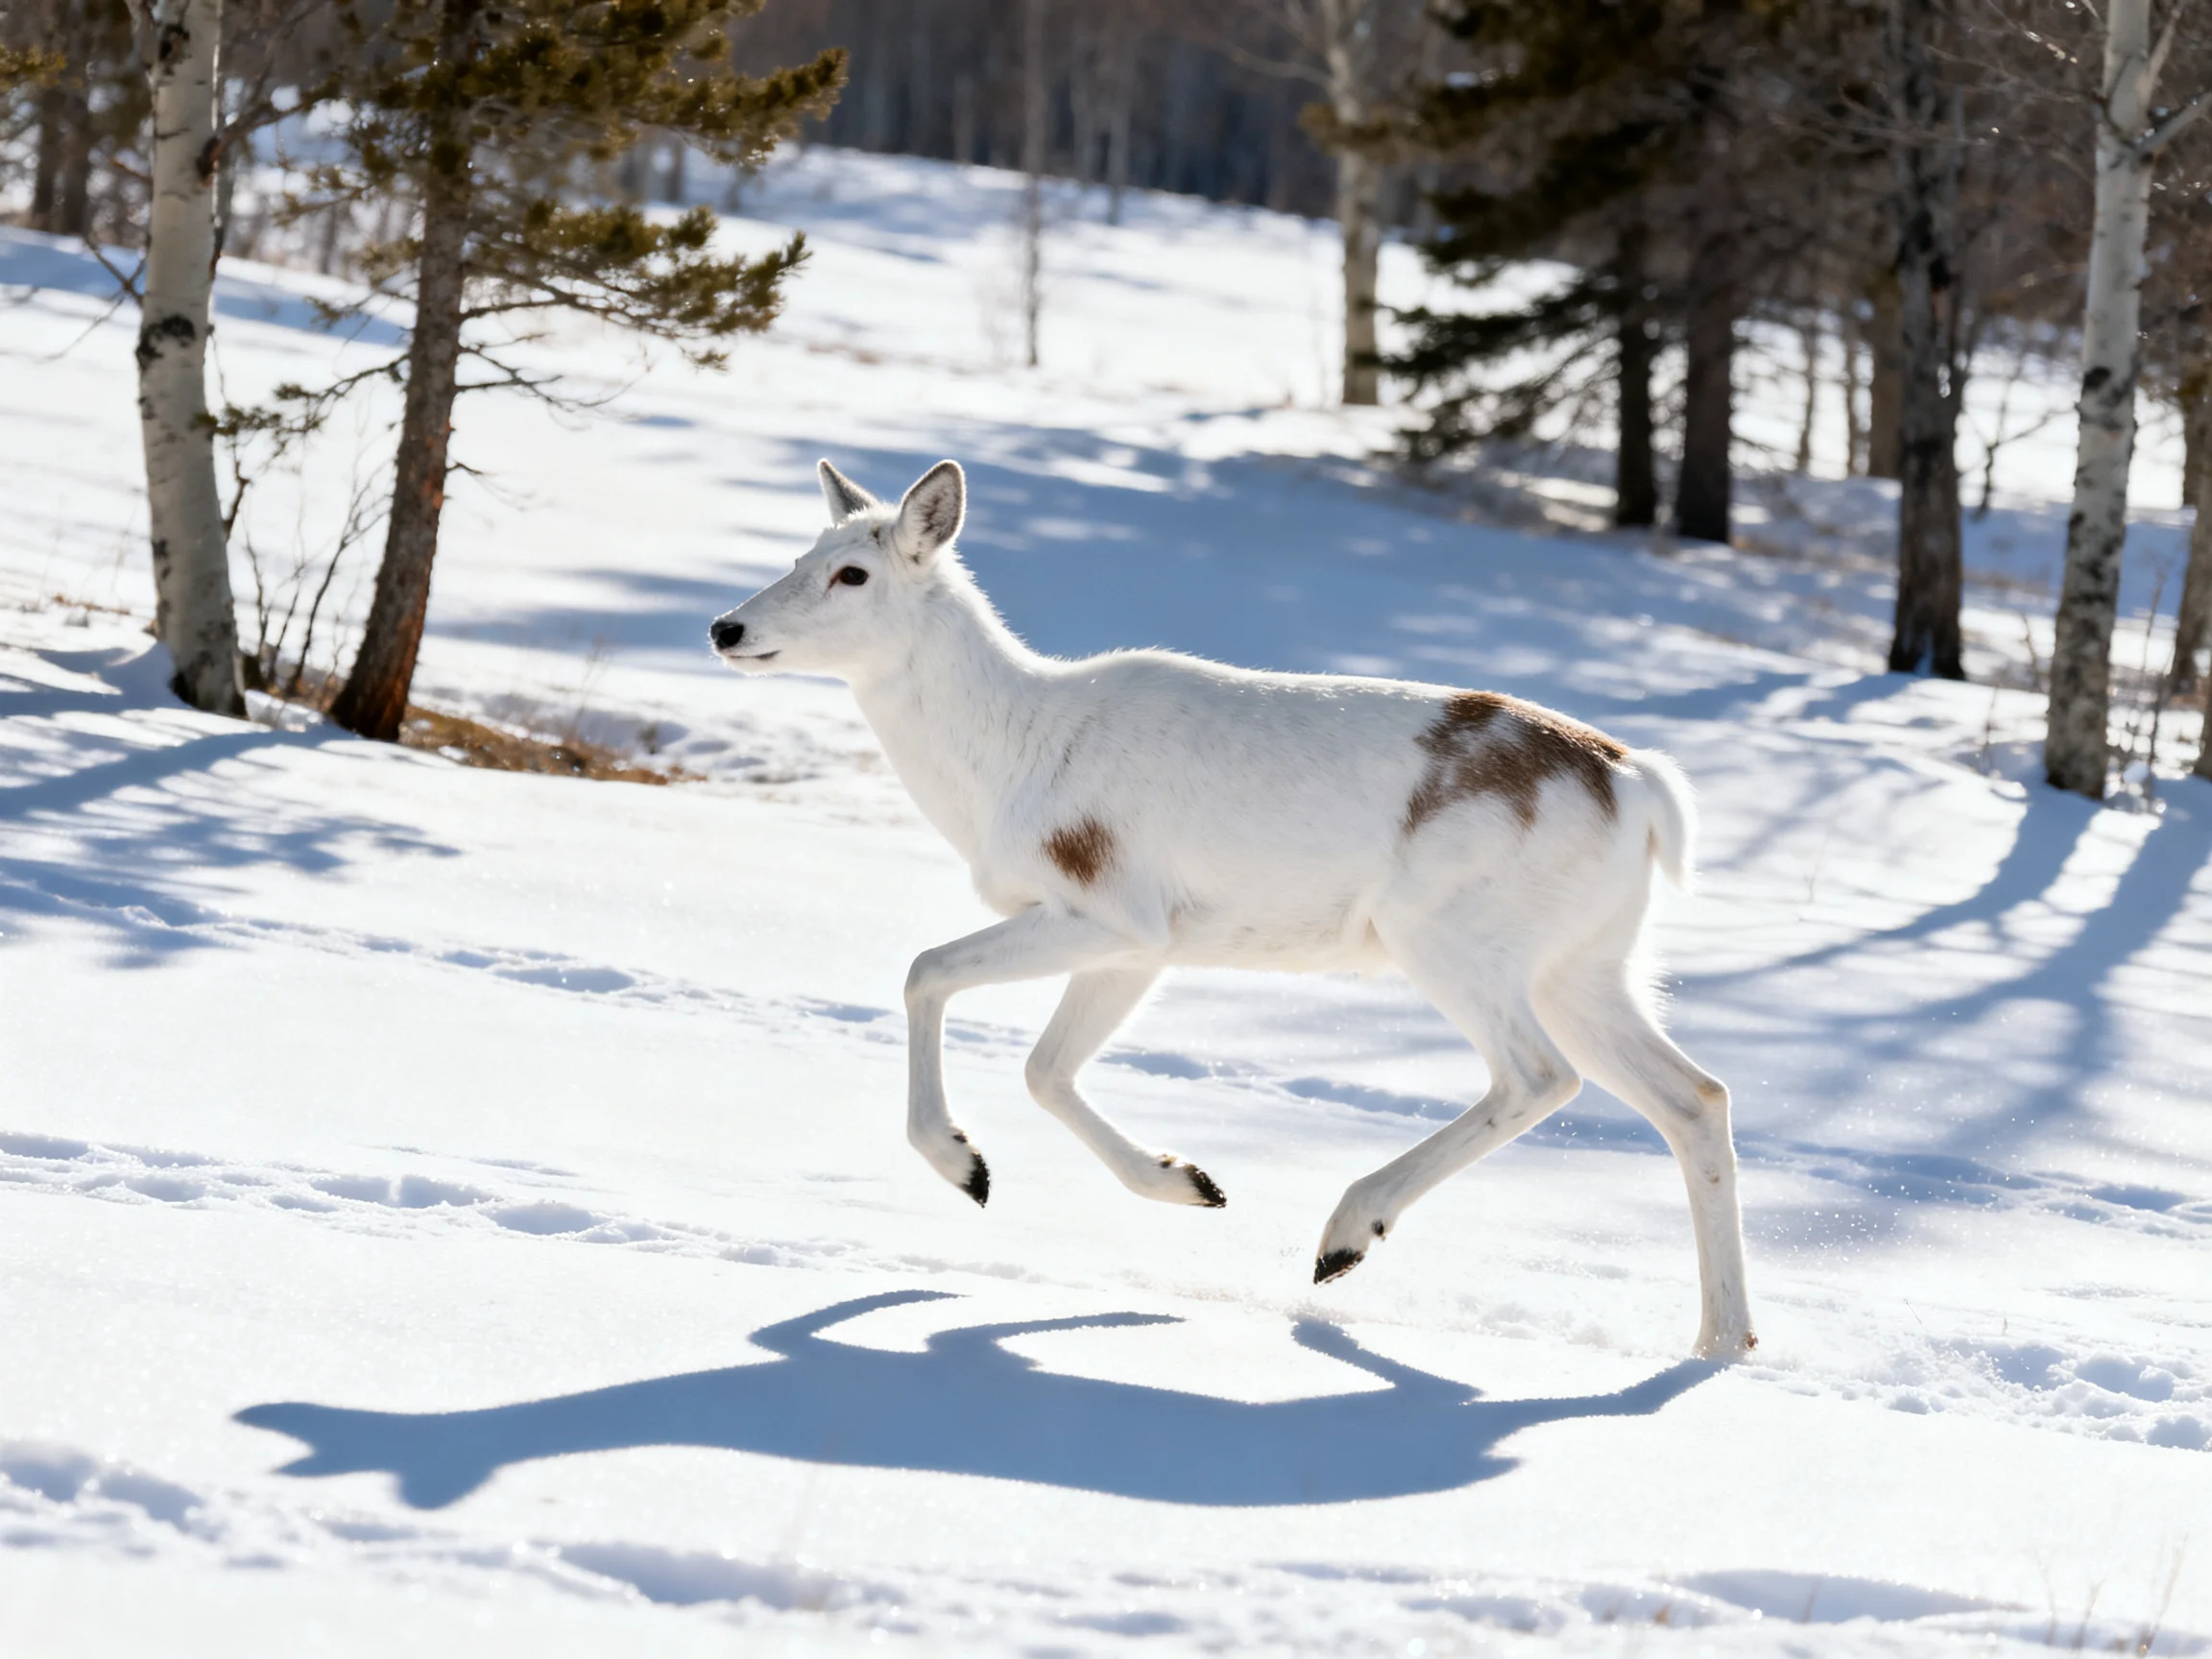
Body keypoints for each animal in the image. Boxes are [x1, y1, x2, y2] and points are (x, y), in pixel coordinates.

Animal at [709, 459, 1755, 1358]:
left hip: (1452, 940)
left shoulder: (1108, 911)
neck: (1005, 751)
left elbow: (926, 973)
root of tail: (1638, 787)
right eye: (797, 558)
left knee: (1539, 1078)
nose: (725, 629)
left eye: (852, 573)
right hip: (1587, 966)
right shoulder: (1142, 947)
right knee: (1696, 1098)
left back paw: (1344, 1236)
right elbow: (1047, 1070)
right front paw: (1190, 1184)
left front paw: (967, 1169)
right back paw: (1719, 1344)